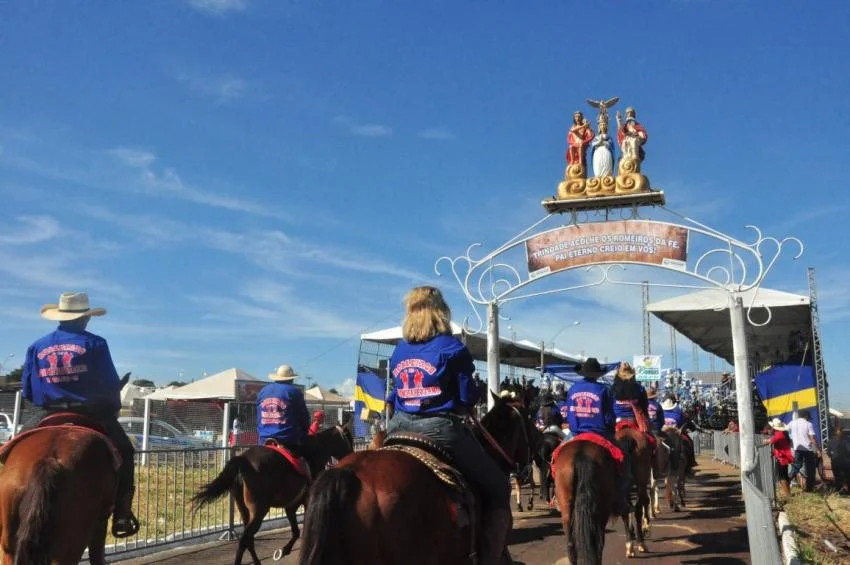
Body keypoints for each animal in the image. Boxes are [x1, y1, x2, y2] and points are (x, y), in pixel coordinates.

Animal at [191, 420, 352, 560]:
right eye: (349, 438)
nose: (352, 454)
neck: (314, 453)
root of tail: (243, 460)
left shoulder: (291, 506)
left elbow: (296, 530)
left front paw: (284, 550)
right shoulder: (306, 502)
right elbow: (302, 530)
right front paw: (287, 550)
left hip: (244, 508)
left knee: (249, 540)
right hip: (259, 509)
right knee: (245, 539)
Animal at [612, 424, 652, 556]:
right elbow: (645, 501)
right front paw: (646, 527)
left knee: (625, 510)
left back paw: (629, 545)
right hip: (642, 480)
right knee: (639, 507)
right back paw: (641, 543)